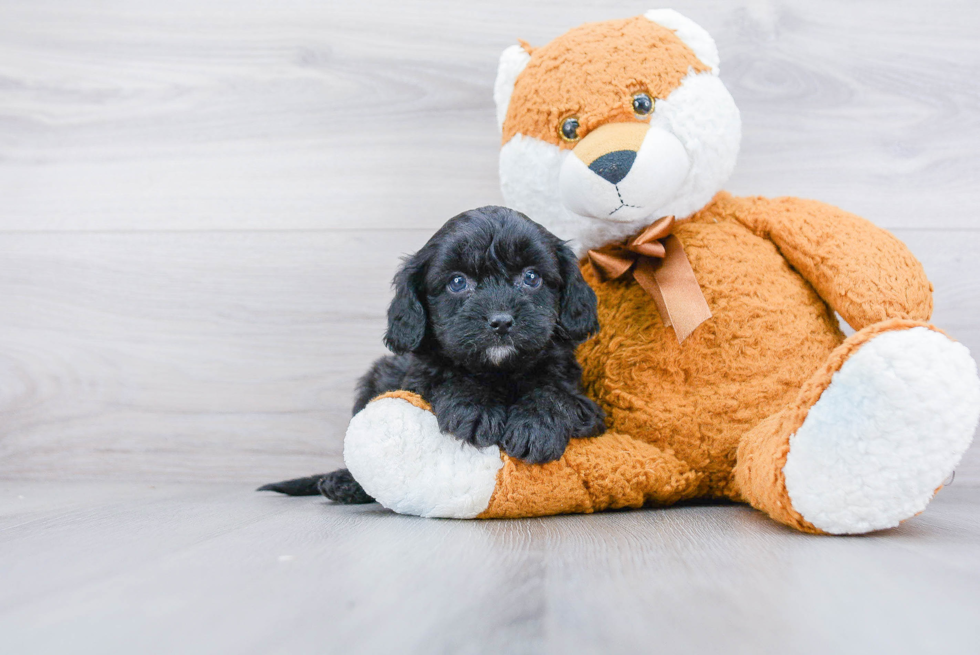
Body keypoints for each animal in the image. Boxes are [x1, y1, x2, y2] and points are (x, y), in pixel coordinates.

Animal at [256, 208, 600, 504]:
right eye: (457, 282)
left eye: (531, 278)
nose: (501, 321)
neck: (498, 370)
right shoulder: (418, 378)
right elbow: (447, 378)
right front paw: (475, 408)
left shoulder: (589, 408)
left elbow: (553, 392)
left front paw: (535, 426)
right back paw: (343, 484)